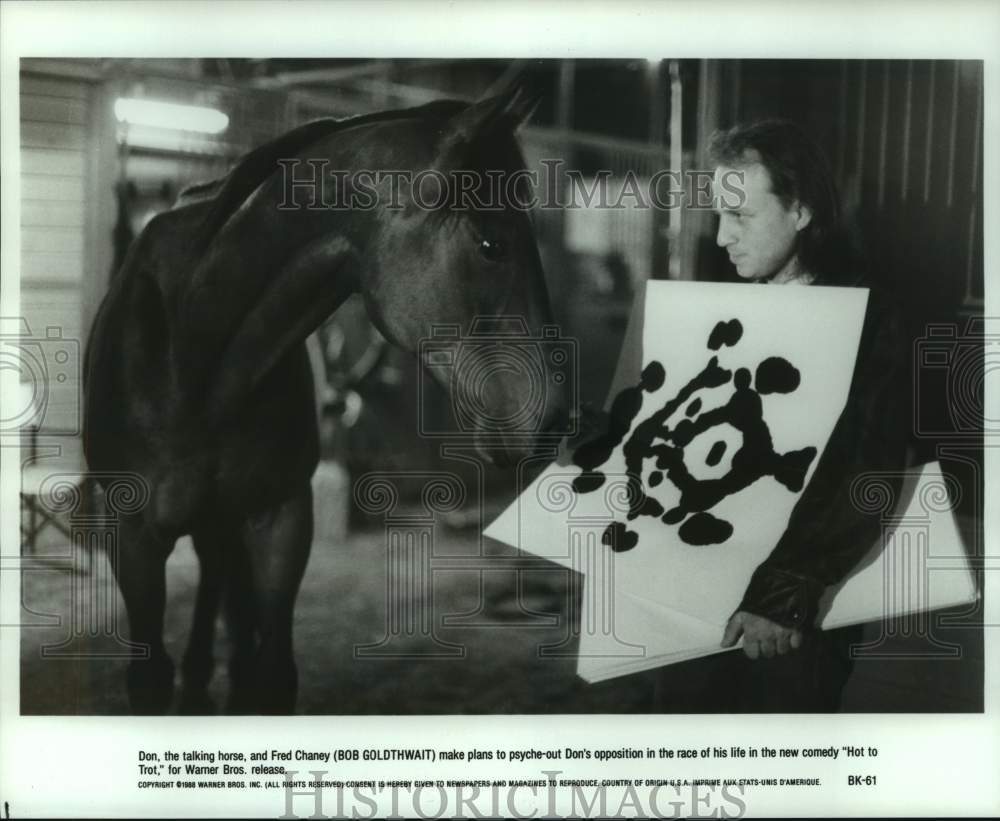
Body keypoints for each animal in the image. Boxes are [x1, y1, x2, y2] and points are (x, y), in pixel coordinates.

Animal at [84, 80, 572, 716]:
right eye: (491, 244)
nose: (555, 421)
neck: (193, 354)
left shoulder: (282, 519)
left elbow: (271, 674)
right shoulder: (134, 538)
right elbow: (149, 678)